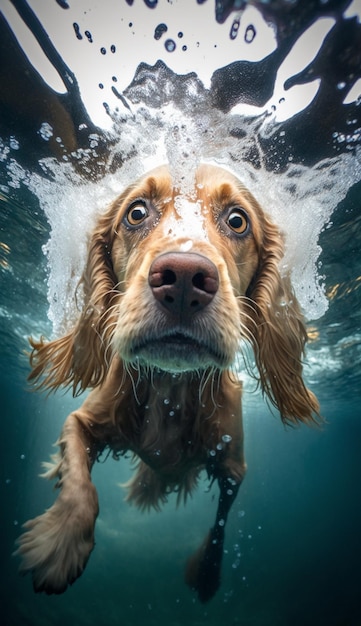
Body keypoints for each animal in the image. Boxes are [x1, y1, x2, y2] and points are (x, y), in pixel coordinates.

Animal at [14, 165, 318, 600]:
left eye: (237, 220)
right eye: (137, 213)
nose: (185, 278)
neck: (170, 390)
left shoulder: (233, 466)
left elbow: (220, 524)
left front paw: (207, 573)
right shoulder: (80, 421)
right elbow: (79, 484)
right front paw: (60, 541)